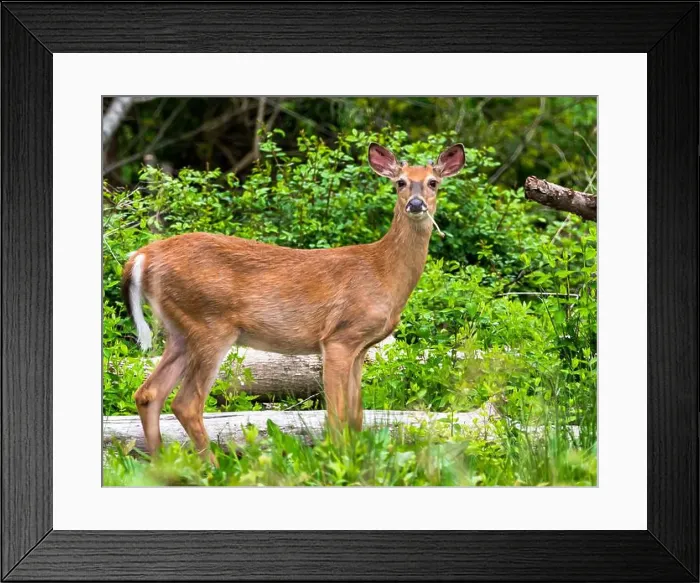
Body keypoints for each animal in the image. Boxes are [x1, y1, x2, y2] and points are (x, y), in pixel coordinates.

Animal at [121, 142, 465, 461]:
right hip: (210, 324)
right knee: (186, 403)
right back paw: (211, 468)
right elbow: (337, 414)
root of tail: (141, 256)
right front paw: (336, 459)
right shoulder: (338, 338)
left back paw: (162, 466)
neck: (383, 271)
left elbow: (357, 415)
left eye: (433, 182)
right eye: (400, 182)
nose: (416, 204)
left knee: (149, 393)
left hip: (179, 329)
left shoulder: (361, 347)